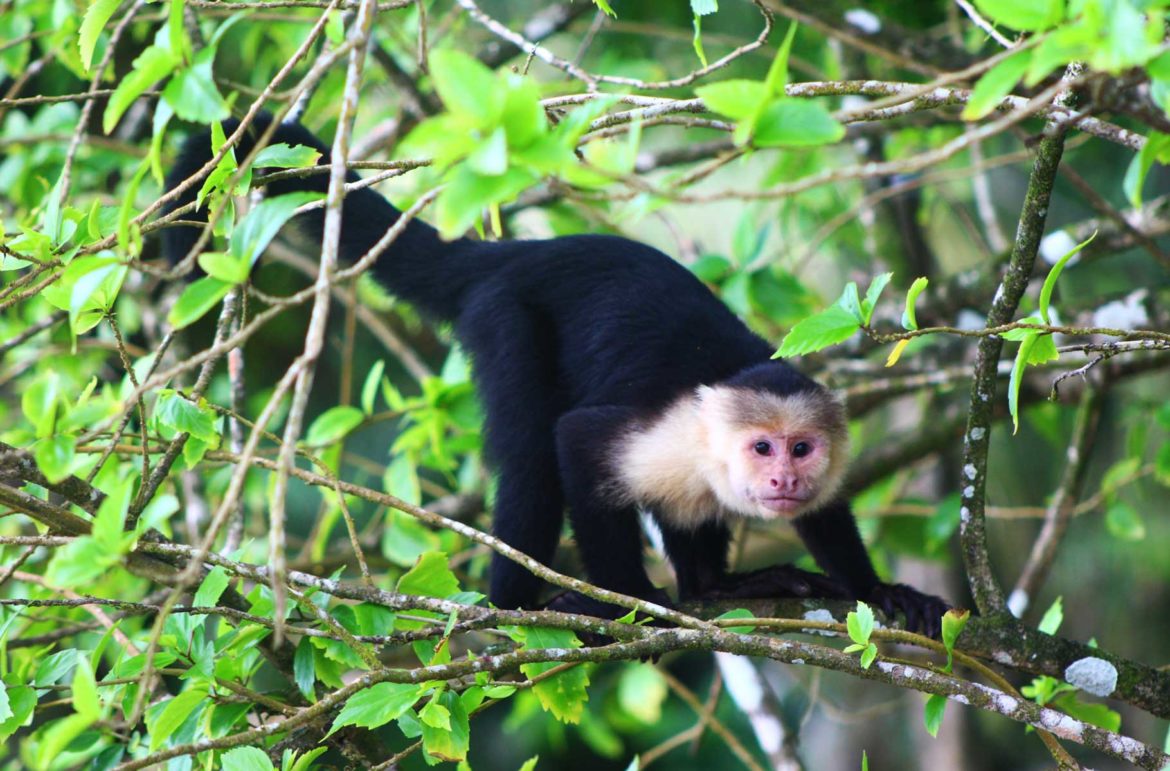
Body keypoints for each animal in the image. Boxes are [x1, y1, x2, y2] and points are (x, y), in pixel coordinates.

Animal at [164, 112, 950, 631]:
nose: (783, 478)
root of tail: (509, 253)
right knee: (532, 453)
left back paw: (718, 587)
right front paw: (638, 602)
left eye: (802, 449)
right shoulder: (665, 435)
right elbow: (577, 442)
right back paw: (521, 602)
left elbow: (825, 513)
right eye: (762, 448)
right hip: (504, 314)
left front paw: (877, 590)